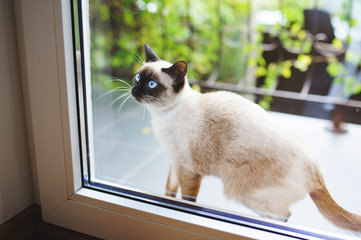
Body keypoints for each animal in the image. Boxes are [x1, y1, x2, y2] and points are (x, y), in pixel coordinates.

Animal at [130, 43, 360, 232]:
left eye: (151, 85)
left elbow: (187, 200)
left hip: (243, 193)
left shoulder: (187, 170)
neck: (161, 116)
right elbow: (168, 192)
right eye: (138, 78)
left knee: (284, 216)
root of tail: (315, 168)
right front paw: (166, 201)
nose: (133, 90)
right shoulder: (174, 164)